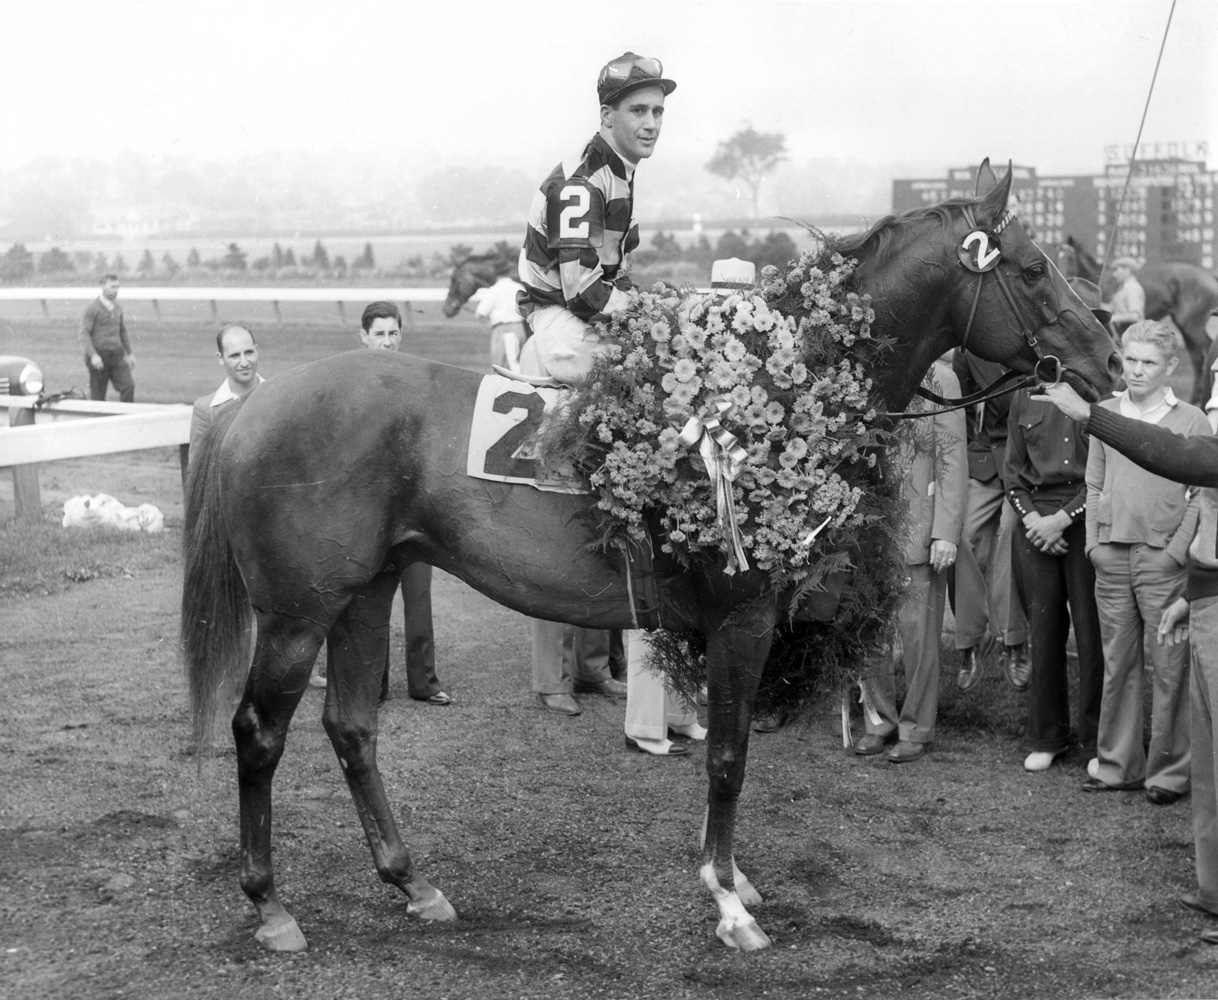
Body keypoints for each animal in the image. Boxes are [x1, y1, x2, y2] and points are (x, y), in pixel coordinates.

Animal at [180, 159, 1120, 954]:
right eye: (1033, 268)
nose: (1108, 358)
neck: (787, 389)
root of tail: (254, 405)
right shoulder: (742, 621)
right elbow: (730, 758)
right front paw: (729, 901)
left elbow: (726, 753)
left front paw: (732, 878)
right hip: (298, 613)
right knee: (258, 731)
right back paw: (271, 906)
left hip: (366, 592)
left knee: (352, 727)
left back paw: (412, 883)